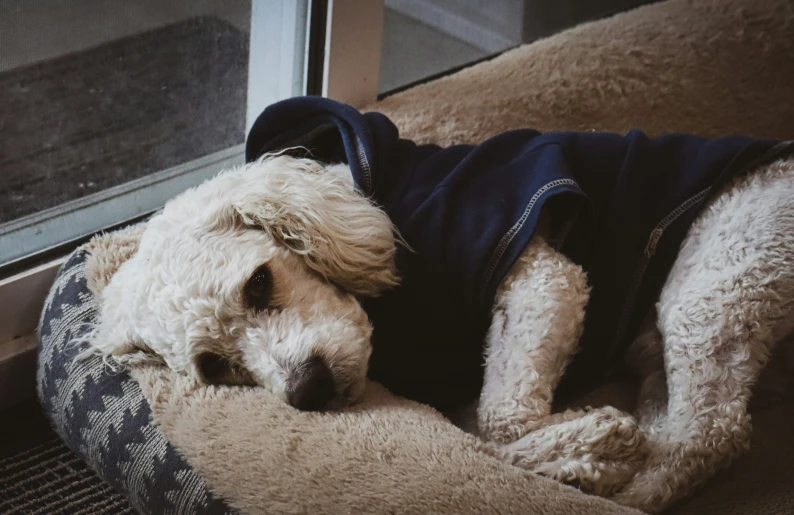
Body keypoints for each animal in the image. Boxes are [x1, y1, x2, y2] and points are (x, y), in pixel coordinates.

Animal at [86, 151, 792, 512]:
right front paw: (585, 451)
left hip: (722, 273)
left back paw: (637, 480)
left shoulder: (542, 276)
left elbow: (501, 423)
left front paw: (587, 450)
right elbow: (483, 438)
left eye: (258, 283)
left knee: (710, 434)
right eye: (214, 366)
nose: (310, 391)